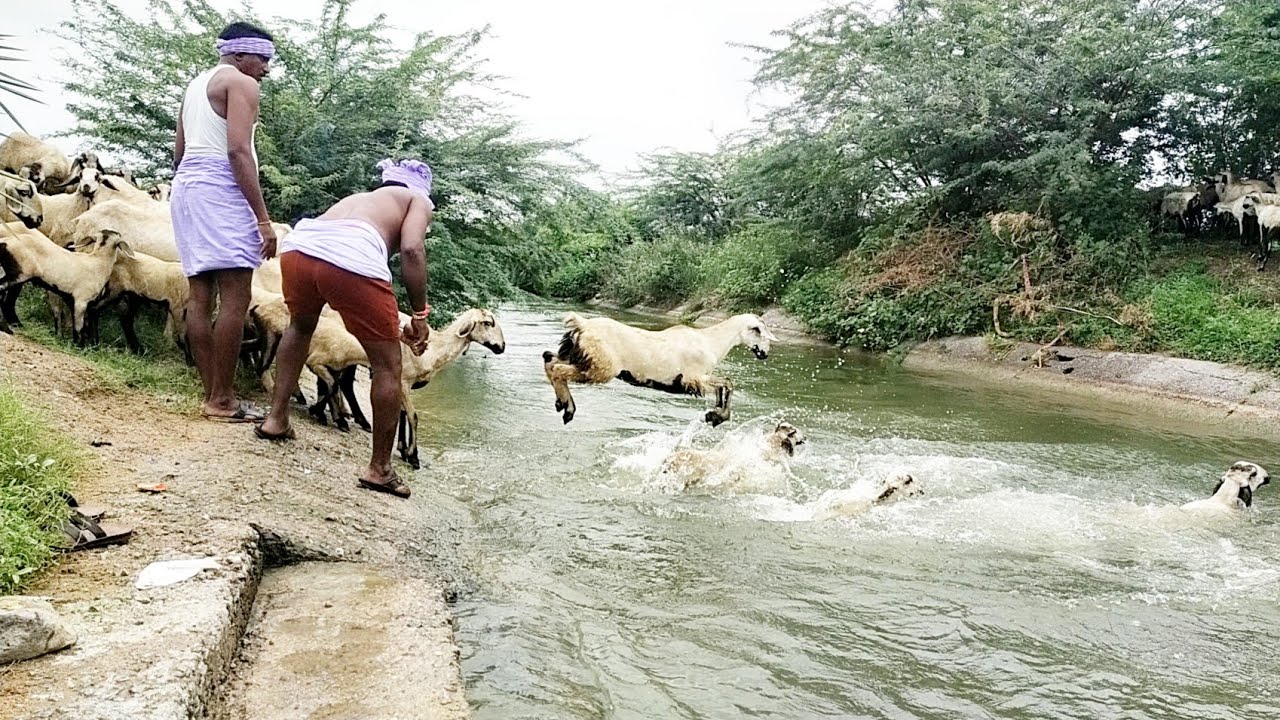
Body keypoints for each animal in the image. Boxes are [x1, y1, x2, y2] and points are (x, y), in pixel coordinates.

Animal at [0, 223, 133, 344]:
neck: (98, 261)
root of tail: (5, 243)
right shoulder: (81, 301)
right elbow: (79, 327)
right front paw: (79, 346)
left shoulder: (71, 299)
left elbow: (80, 325)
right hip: (19, 272)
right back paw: (7, 328)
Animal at [541, 312, 777, 426]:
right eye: (761, 334)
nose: (764, 354)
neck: (712, 341)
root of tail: (583, 324)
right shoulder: (693, 379)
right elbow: (728, 382)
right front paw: (718, 416)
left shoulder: (699, 380)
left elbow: (723, 386)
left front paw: (715, 414)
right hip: (600, 366)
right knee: (557, 369)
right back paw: (568, 409)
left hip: (578, 355)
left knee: (549, 360)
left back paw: (560, 403)